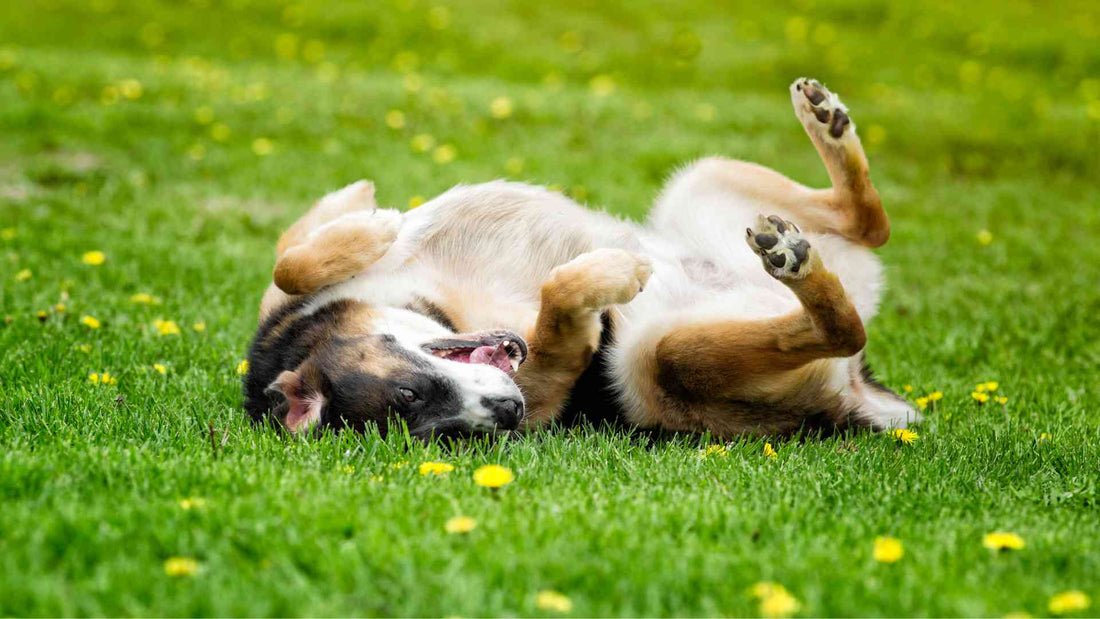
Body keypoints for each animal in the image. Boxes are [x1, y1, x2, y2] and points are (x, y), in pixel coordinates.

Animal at [243, 79, 919, 437]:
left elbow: (290, 257)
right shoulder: (548, 382)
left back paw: (825, 123)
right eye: (446, 435)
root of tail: (856, 397)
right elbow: (560, 303)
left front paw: (369, 219)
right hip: (660, 363)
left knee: (871, 223)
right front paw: (607, 276)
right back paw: (797, 267)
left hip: (702, 178)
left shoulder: (286, 287)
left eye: (409, 394)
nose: (508, 411)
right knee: (839, 322)